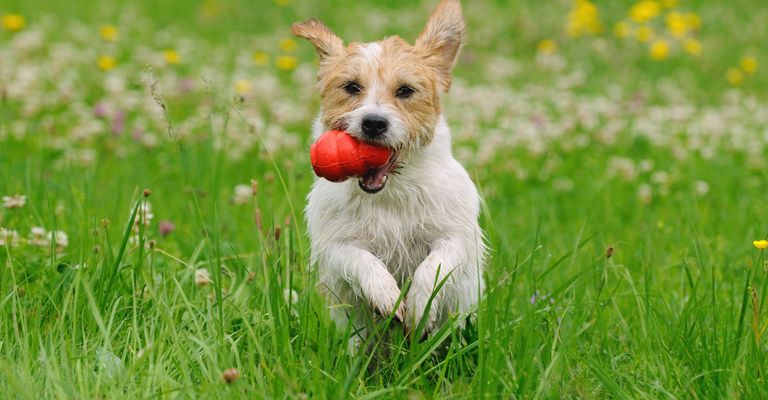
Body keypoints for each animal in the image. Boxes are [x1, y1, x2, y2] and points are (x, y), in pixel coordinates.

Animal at [294, 0, 486, 344]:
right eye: (352, 87)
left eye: (405, 91)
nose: (373, 122)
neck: (392, 194)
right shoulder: (335, 245)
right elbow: (359, 259)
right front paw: (385, 294)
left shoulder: (455, 235)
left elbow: (434, 265)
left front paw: (420, 305)